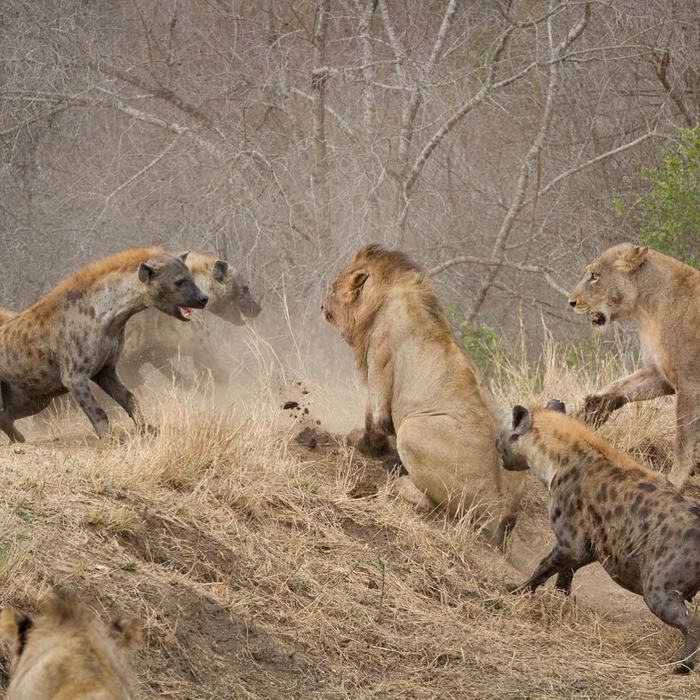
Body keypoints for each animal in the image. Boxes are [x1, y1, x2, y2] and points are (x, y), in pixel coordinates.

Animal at [322, 246, 524, 548]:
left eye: (333, 287)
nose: (322, 305)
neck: (384, 297)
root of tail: (499, 508)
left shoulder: (379, 365)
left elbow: (374, 421)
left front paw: (363, 445)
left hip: (413, 429)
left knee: (431, 503)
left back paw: (399, 478)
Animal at [568, 243, 700, 490]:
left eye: (595, 276)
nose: (571, 302)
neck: (646, 309)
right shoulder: (660, 375)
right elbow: (622, 386)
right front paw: (593, 408)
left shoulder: (689, 385)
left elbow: (683, 439)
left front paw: (674, 481)